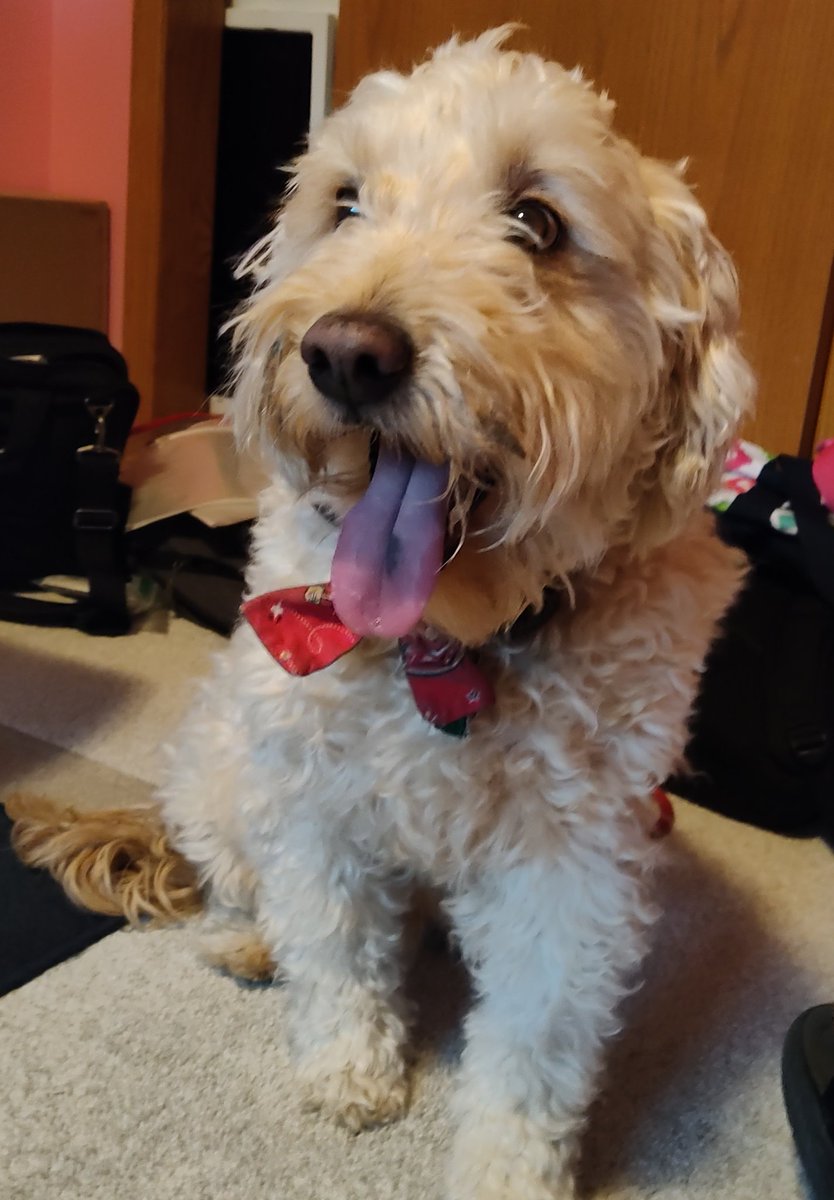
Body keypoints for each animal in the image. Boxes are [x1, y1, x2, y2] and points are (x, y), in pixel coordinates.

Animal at [11, 28, 758, 1200]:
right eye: (345, 201)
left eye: (538, 220)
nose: (344, 353)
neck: (447, 639)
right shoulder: (316, 801)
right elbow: (332, 943)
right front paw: (350, 1070)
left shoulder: (573, 863)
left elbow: (538, 1039)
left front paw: (506, 1166)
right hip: (224, 767)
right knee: (242, 881)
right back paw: (250, 941)